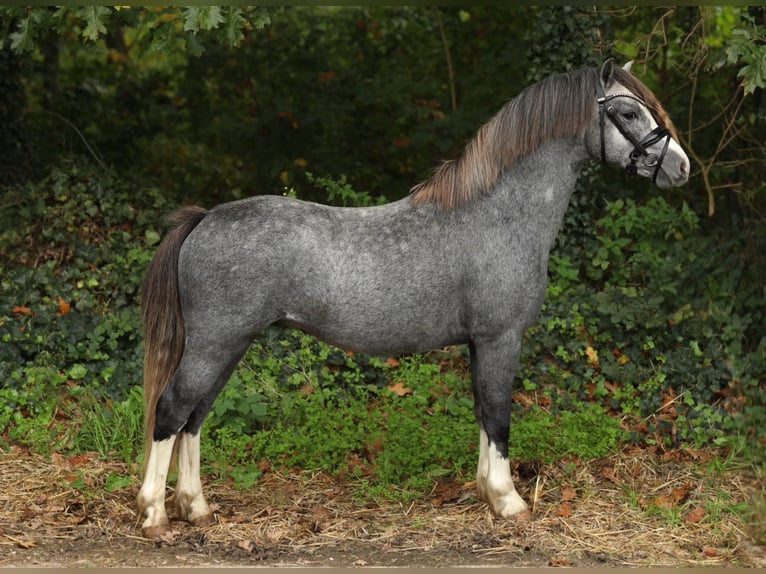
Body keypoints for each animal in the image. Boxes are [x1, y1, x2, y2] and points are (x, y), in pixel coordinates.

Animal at [136, 59, 690, 537]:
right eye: (627, 113)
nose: (681, 168)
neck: (498, 215)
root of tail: (204, 218)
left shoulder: (479, 343)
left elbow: (483, 413)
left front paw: (487, 492)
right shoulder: (501, 339)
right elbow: (499, 414)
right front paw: (509, 501)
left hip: (229, 347)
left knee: (195, 418)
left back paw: (196, 508)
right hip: (215, 344)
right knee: (171, 411)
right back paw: (154, 514)